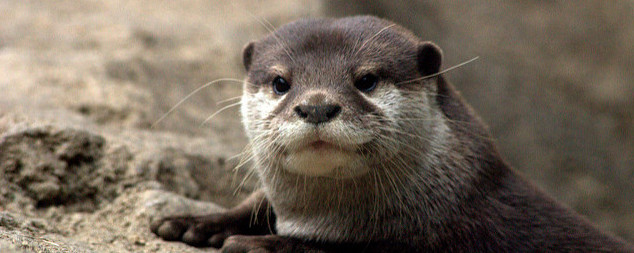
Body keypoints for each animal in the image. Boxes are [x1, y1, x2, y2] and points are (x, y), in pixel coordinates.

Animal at [149, 16, 632, 252]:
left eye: (366, 79)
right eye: (281, 82)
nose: (317, 106)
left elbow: (350, 251)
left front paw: (263, 244)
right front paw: (192, 221)